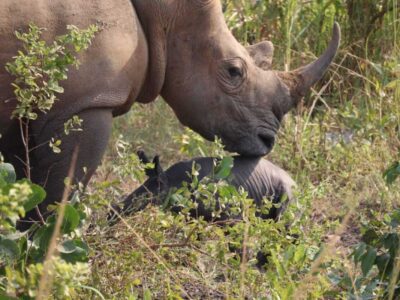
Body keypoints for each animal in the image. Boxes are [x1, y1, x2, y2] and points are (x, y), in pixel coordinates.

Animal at [117, 150, 296, 223]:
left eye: (149, 197)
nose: (114, 211)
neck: (172, 181)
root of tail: (295, 183)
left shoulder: (233, 217)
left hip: (287, 195)